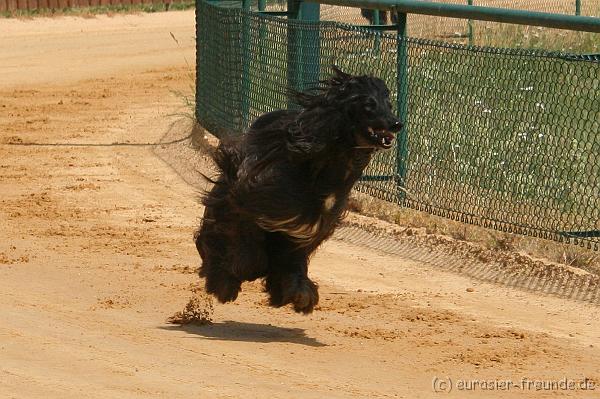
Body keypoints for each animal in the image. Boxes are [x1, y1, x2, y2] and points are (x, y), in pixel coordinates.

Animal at [196, 67, 404, 314]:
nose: (396, 123)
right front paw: (232, 275)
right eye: (369, 104)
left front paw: (298, 292)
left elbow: (293, 257)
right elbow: (242, 235)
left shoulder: (311, 227)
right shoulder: (252, 195)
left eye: (389, 104)